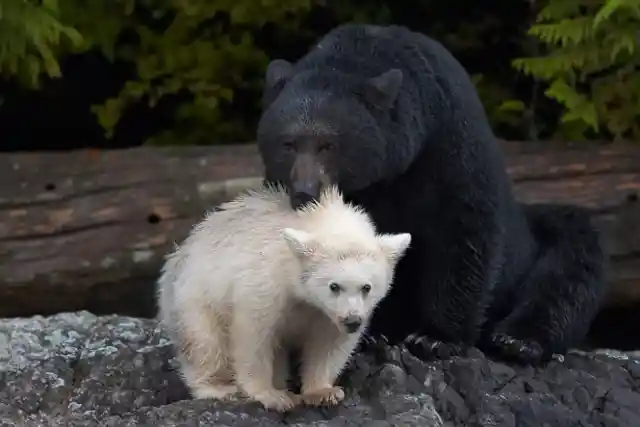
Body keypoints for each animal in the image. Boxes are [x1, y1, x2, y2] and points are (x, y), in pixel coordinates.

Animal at [254, 23, 604, 366]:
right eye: (288, 143)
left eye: (327, 145)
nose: (304, 191)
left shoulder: (449, 144)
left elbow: (463, 230)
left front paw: (435, 337)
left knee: (569, 268)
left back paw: (518, 340)